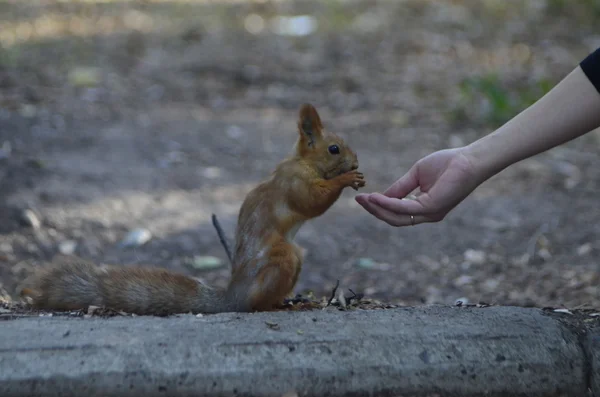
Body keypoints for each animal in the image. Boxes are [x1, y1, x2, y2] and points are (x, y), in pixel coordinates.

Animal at [18, 103, 366, 316]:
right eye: (334, 149)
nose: (356, 162)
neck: (304, 163)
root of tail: (233, 297)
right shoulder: (293, 183)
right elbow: (311, 201)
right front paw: (347, 179)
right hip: (283, 257)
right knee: (257, 304)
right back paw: (282, 306)